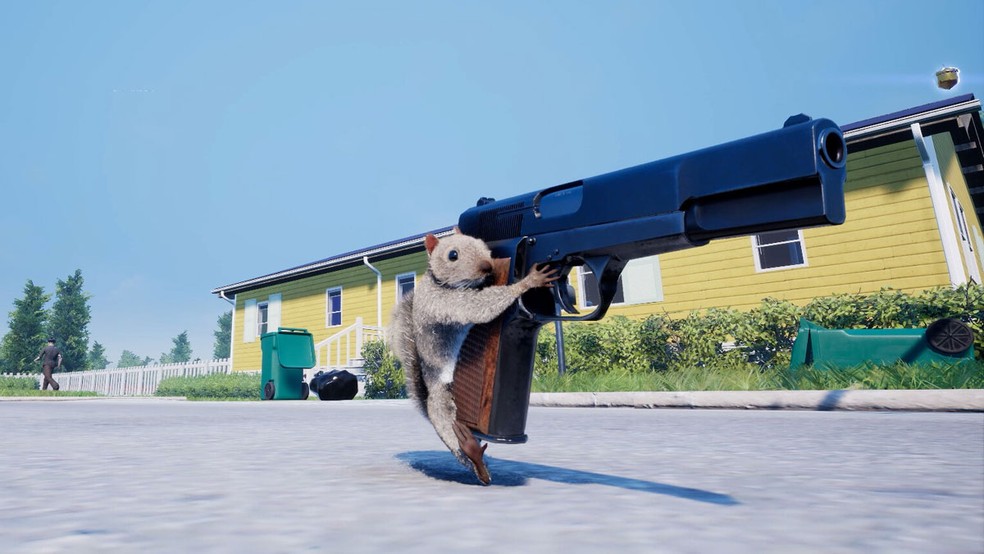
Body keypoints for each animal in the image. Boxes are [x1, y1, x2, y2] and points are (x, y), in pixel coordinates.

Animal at [387, 229, 558, 484]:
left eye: (480, 243)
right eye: (453, 255)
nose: (487, 267)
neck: (438, 280)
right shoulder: (446, 303)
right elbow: (478, 308)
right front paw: (529, 281)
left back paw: (481, 466)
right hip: (443, 405)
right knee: (449, 430)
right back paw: (472, 453)